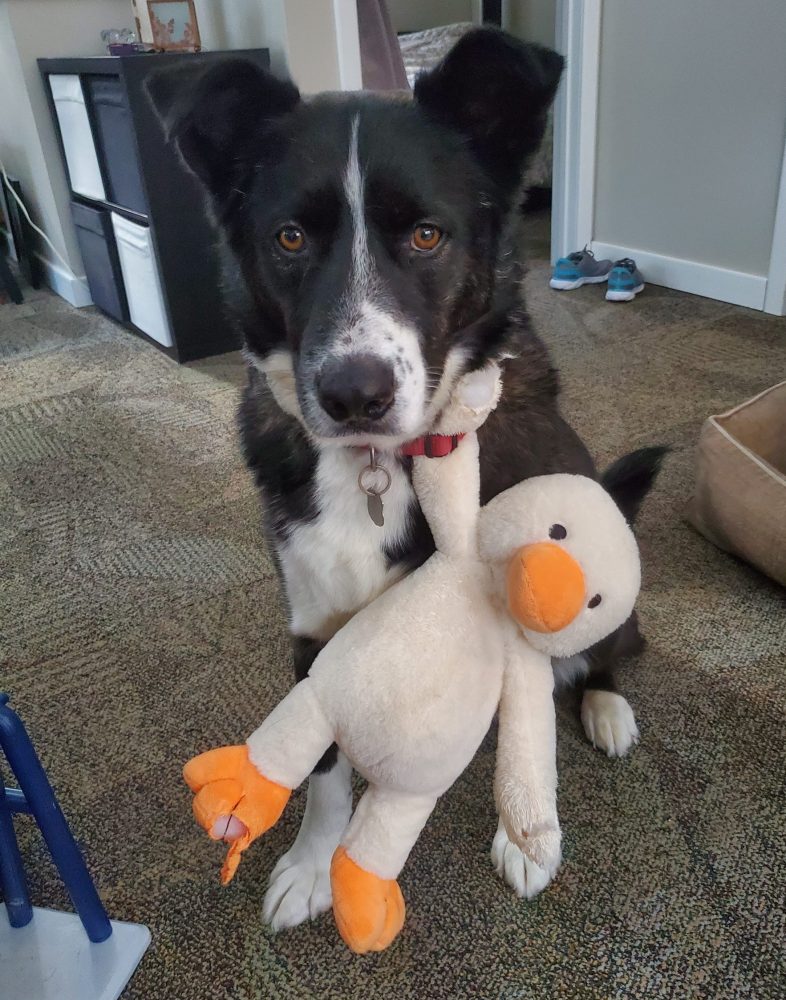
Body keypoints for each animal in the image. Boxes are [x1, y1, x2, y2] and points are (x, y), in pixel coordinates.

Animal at [147, 25, 660, 928]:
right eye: (289, 238)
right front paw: (313, 865)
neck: (376, 471)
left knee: (605, 654)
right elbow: (324, 773)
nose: (354, 395)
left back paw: (605, 705)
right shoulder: (316, 630)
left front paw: (526, 837)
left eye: (426, 235)